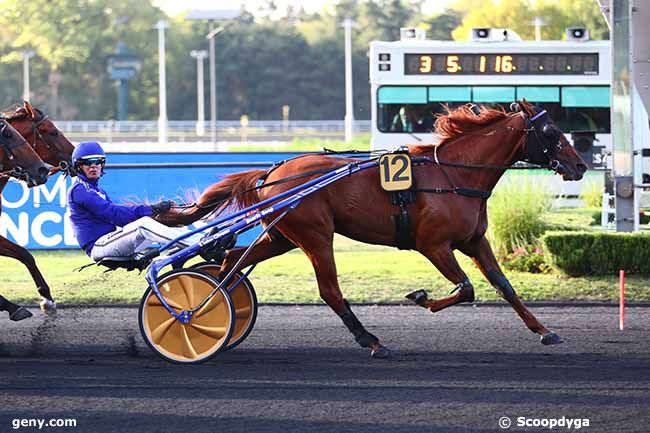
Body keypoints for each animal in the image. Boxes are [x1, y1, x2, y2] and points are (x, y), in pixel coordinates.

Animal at [158, 100, 588, 354]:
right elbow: (465, 289)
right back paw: (370, 339)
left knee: (231, 260)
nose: (581, 165)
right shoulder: (433, 244)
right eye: (551, 131)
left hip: (282, 235)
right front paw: (420, 297)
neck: (452, 175)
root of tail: (272, 173)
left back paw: (211, 309)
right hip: (315, 235)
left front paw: (544, 329)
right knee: (329, 290)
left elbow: (504, 286)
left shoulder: (474, 241)